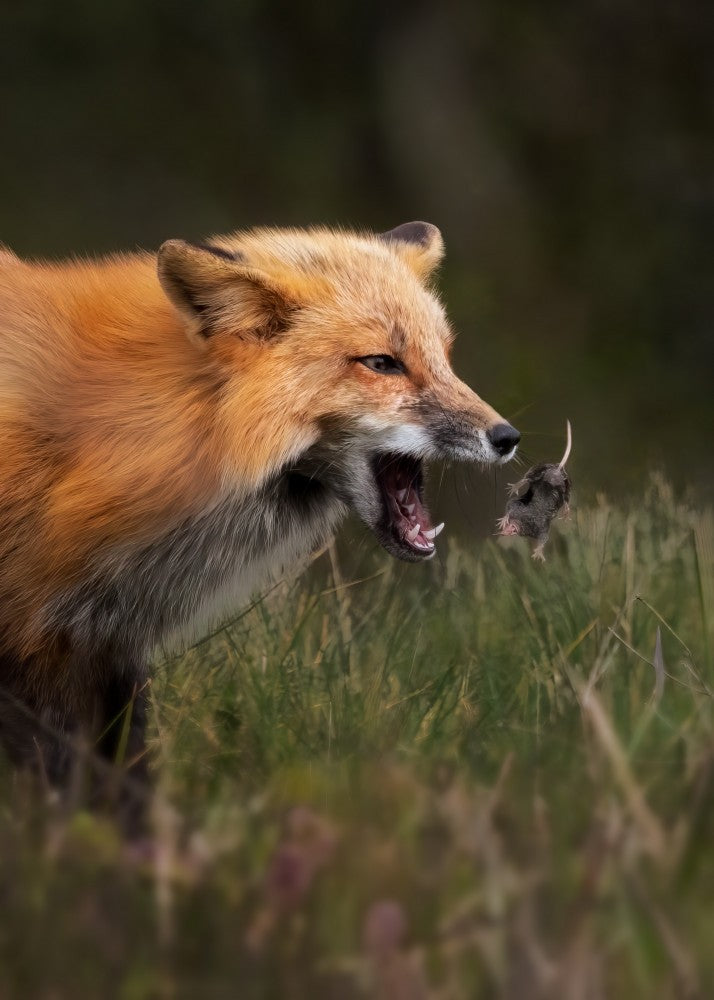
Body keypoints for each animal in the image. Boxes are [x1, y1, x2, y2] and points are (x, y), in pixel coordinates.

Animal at [0, 221, 519, 825]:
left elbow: (127, 785)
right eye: (382, 363)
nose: (508, 438)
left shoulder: (104, 650)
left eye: (446, 358)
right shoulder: (35, 647)